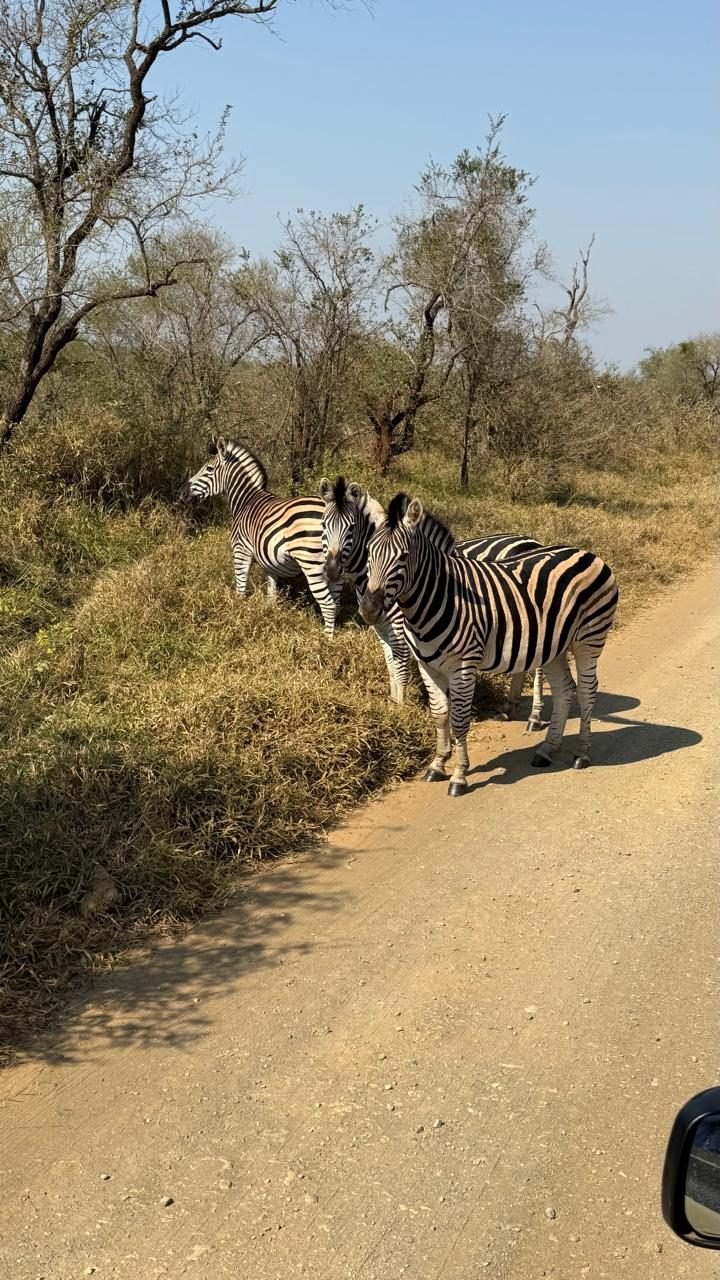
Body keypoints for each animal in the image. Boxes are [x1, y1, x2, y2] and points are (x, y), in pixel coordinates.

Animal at [182, 438, 340, 636]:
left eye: (209, 469)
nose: (183, 492)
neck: (246, 501)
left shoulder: (240, 551)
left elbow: (240, 589)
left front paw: (238, 616)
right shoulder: (271, 563)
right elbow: (271, 594)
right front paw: (270, 617)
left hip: (311, 564)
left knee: (329, 604)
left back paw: (326, 639)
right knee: (337, 601)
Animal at [319, 476, 547, 729]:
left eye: (351, 528)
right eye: (323, 526)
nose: (331, 571)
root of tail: (533, 542)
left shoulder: (402, 628)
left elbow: (400, 666)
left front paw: (401, 709)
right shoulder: (381, 627)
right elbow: (390, 664)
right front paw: (393, 703)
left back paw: (535, 716)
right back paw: (509, 706)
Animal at [358, 493, 618, 796]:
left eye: (403, 556)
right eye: (369, 553)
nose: (369, 610)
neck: (438, 596)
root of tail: (587, 553)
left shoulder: (463, 666)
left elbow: (459, 721)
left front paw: (459, 776)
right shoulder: (427, 666)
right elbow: (440, 715)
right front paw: (437, 765)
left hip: (589, 639)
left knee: (587, 691)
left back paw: (581, 753)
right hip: (554, 646)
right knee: (565, 690)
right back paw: (546, 750)